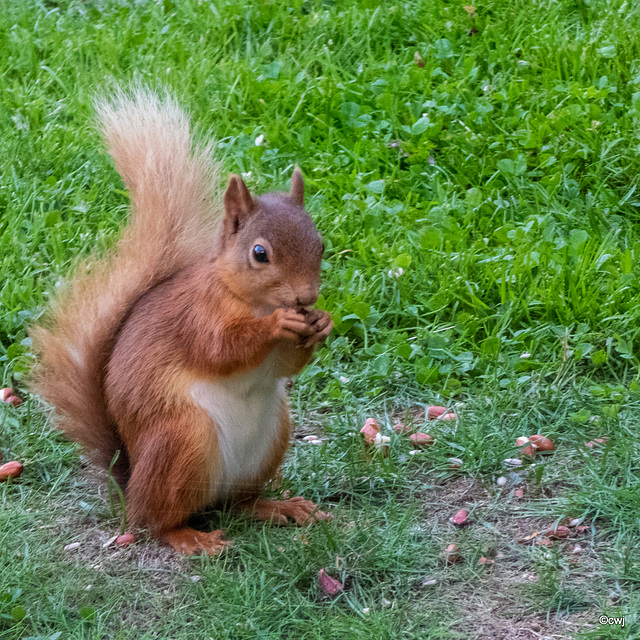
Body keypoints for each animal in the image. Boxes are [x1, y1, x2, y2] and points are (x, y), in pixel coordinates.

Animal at [28, 86, 332, 556]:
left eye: (320, 245)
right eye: (259, 253)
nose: (305, 297)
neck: (251, 300)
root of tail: (130, 483)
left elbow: (284, 365)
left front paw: (321, 322)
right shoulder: (197, 317)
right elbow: (221, 349)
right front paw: (279, 325)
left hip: (269, 440)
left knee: (238, 503)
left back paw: (278, 507)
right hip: (182, 440)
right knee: (155, 521)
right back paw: (192, 538)